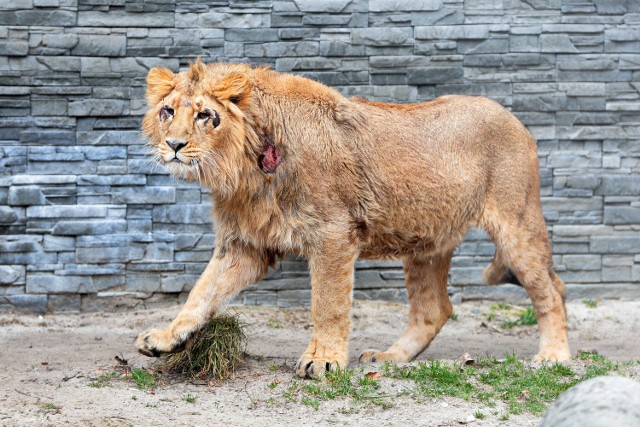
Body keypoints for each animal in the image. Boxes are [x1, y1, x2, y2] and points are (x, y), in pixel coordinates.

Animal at [135, 59, 568, 378]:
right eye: (168, 111)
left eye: (205, 115)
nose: (174, 145)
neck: (245, 169)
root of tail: (515, 119)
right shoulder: (244, 245)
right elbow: (201, 293)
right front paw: (165, 338)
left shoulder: (333, 234)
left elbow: (328, 303)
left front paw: (323, 360)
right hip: (426, 241)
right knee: (434, 309)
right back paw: (390, 358)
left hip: (517, 222)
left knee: (551, 289)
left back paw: (554, 356)